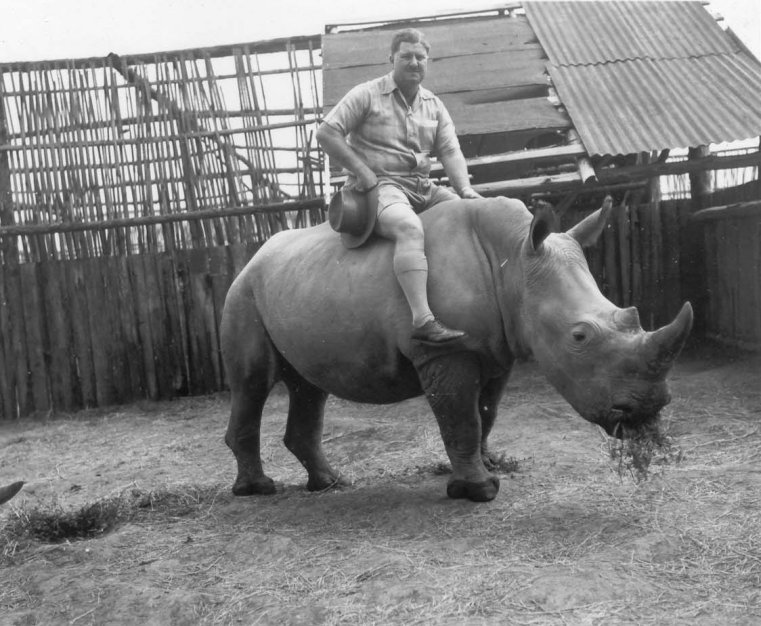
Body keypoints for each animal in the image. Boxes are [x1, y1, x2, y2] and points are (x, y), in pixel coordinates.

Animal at [221, 196, 692, 502]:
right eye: (580, 337)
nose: (647, 410)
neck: (513, 262)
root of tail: (252, 256)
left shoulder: (497, 351)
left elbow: (485, 414)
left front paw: (489, 464)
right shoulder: (446, 352)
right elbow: (461, 418)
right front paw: (479, 491)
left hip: (293, 286)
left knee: (307, 385)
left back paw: (331, 484)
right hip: (242, 292)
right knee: (253, 381)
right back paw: (257, 491)